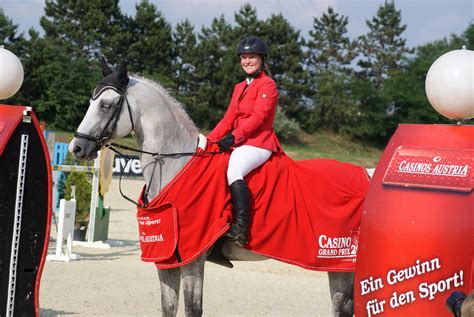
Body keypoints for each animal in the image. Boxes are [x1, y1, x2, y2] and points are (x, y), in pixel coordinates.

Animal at [69, 61, 356, 316]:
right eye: (91, 102)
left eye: (106, 105)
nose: (77, 148)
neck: (175, 165)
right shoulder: (166, 258)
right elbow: (168, 308)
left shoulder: (193, 259)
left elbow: (193, 309)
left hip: (342, 261)